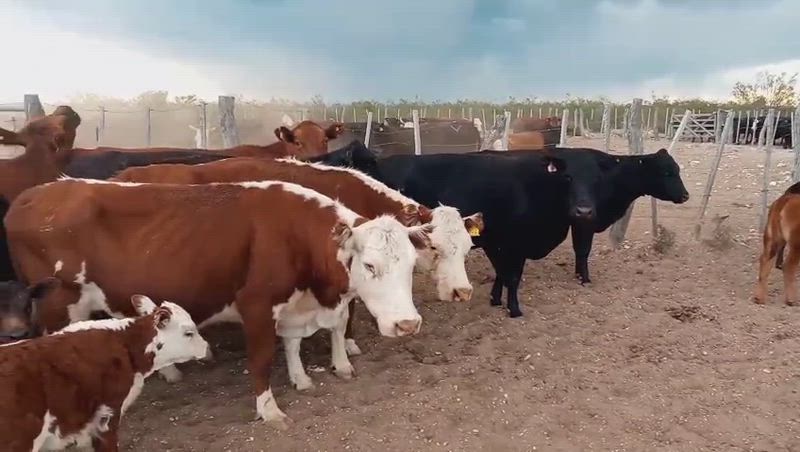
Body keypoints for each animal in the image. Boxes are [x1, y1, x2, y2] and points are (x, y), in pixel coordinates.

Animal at [5, 178, 426, 427]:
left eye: (411, 264)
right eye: (369, 265)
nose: (408, 325)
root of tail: (33, 194)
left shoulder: (295, 306)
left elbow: (294, 344)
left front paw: (302, 378)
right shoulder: (257, 305)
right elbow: (262, 359)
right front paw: (269, 409)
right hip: (59, 307)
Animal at [374, 147, 689, 317]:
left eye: (676, 170)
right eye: (667, 172)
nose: (686, 195)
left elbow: (503, 273)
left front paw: (496, 299)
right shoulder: (527, 239)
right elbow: (575, 253)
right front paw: (515, 309)